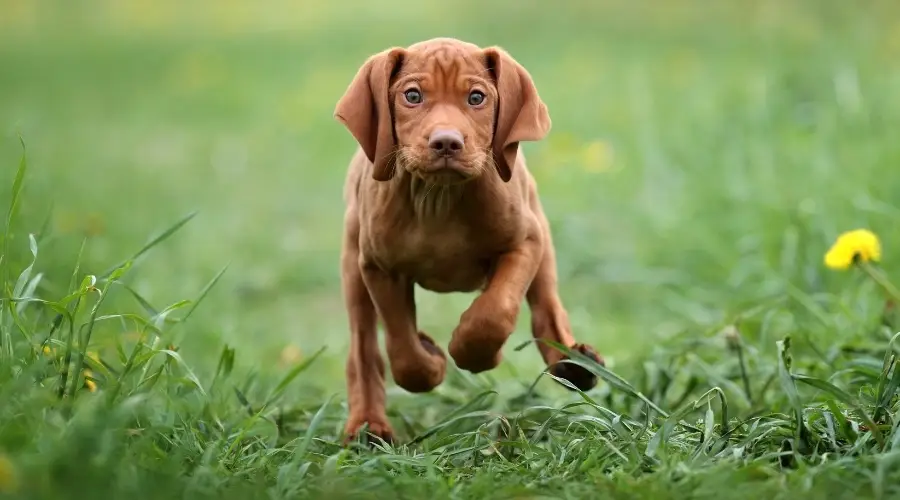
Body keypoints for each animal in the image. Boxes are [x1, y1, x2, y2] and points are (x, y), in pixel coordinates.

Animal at [334, 37, 600, 444]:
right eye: (412, 96)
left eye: (476, 98)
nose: (446, 142)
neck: (439, 199)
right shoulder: (379, 267)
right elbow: (402, 348)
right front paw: (430, 360)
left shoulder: (524, 243)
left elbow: (495, 312)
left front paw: (476, 354)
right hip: (353, 268)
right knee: (363, 351)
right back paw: (368, 427)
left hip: (542, 241)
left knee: (547, 311)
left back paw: (573, 364)